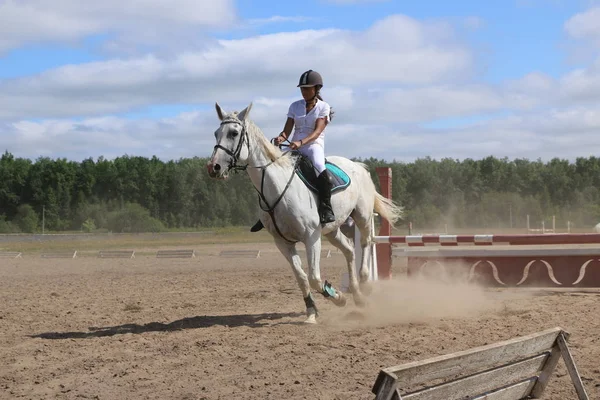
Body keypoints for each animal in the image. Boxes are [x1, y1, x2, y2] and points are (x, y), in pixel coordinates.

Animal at [206, 101, 404, 324]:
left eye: (233, 133)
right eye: (216, 133)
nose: (213, 167)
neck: (277, 188)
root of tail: (358, 166)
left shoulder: (311, 237)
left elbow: (314, 278)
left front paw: (336, 297)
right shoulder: (283, 242)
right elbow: (301, 277)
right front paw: (312, 310)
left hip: (362, 216)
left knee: (365, 242)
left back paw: (364, 283)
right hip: (332, 229)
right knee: (349, 250)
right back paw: (357, 295)